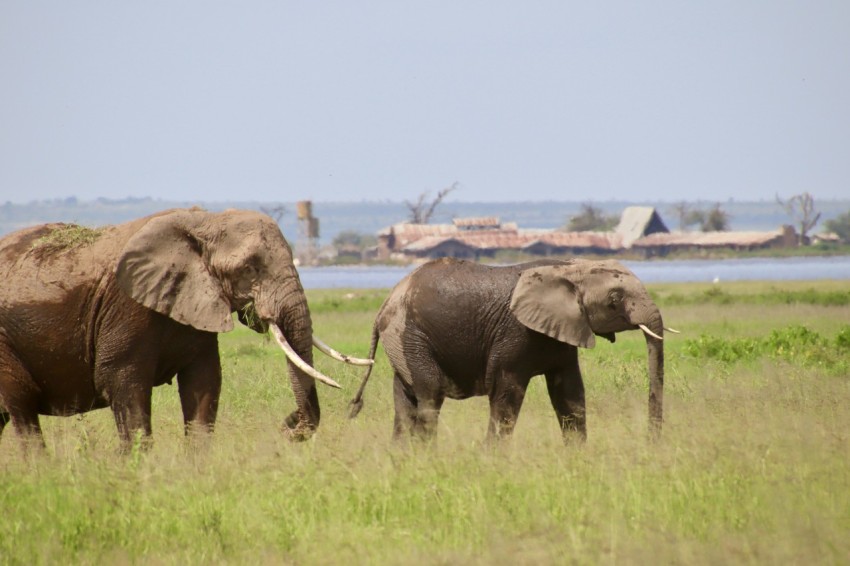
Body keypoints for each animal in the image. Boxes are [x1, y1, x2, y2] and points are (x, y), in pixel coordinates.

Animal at [0, 206, 372, 450]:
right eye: (250, 268)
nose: (288, 426)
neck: (204, 221)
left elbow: (204, 384)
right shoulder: (125, 307)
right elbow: (122, 385)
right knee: (22, 408)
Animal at [348, 258, 672, 444]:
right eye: (615, 300)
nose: (651, 443)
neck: (570, 267)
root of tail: (385, 304)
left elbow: (570, 395)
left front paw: (578, 459)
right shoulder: (515, 333)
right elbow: (507, 393)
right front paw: (493, 461)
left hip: (402, 341)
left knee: (405, 400)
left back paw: (402, 460)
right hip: (410, 335)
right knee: (429, 394)